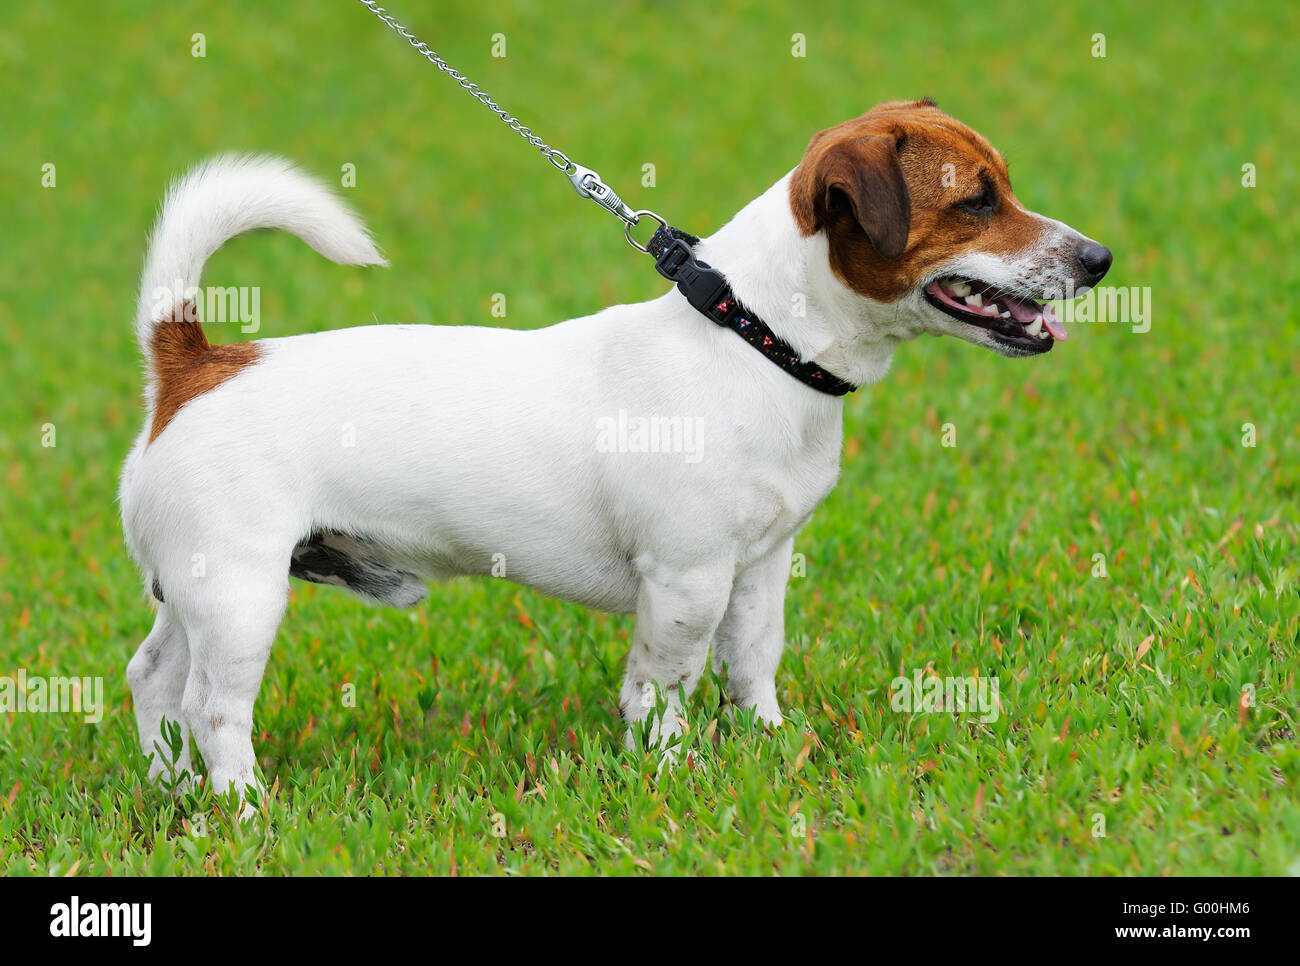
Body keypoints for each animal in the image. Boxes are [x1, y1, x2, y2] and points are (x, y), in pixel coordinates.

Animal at [122, 102, 1112, 806]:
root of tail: (195, 364)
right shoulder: (686, 579)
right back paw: (244, 809)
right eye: (976, 201)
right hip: (244, 596)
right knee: (213, 708)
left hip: (197, 593)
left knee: (155, 681)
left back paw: (175, 795)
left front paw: (768, 747)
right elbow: (664, 685)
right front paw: (672, 774)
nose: (1100, 258)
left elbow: (752, 663)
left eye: (1002, 187)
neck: (753, 338)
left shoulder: (762, 567)